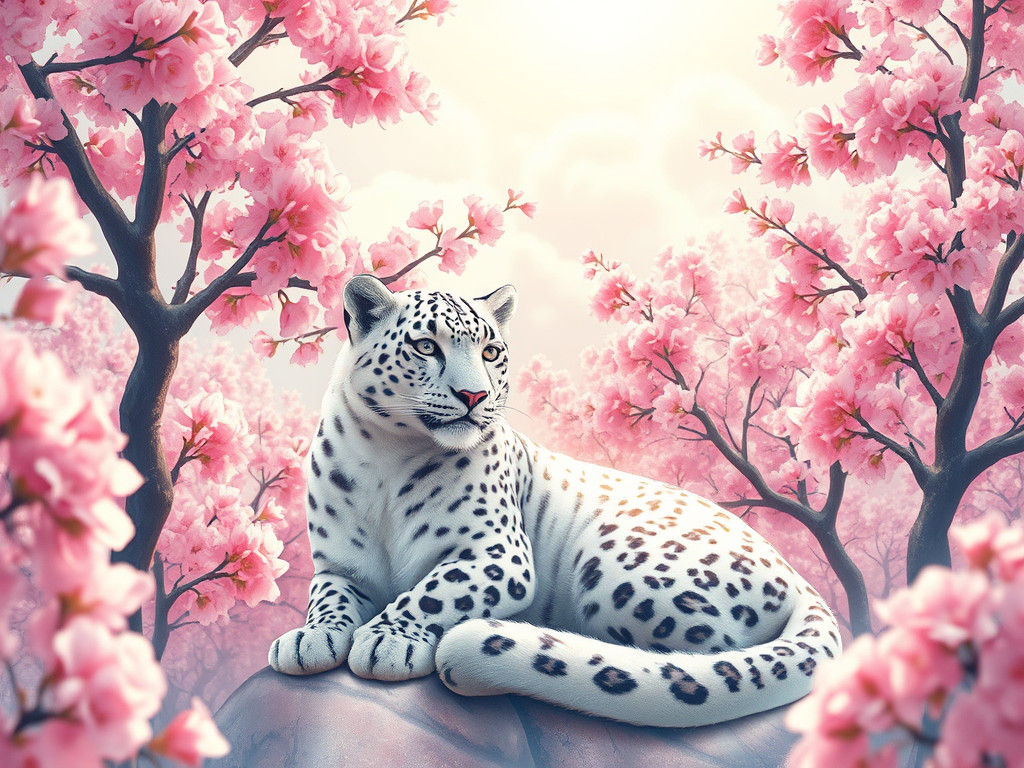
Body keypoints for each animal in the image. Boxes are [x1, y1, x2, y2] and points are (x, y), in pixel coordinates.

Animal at [268, 273, 842, 728]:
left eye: (490, 352)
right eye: (427, 346)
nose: (474, 396)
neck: (387, 457)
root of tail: (795, 573)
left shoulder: (498, 555)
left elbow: (434, 591)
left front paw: (388, 640)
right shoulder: (339, 565)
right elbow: (329, 599)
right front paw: (309, 639)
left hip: (615, 562)